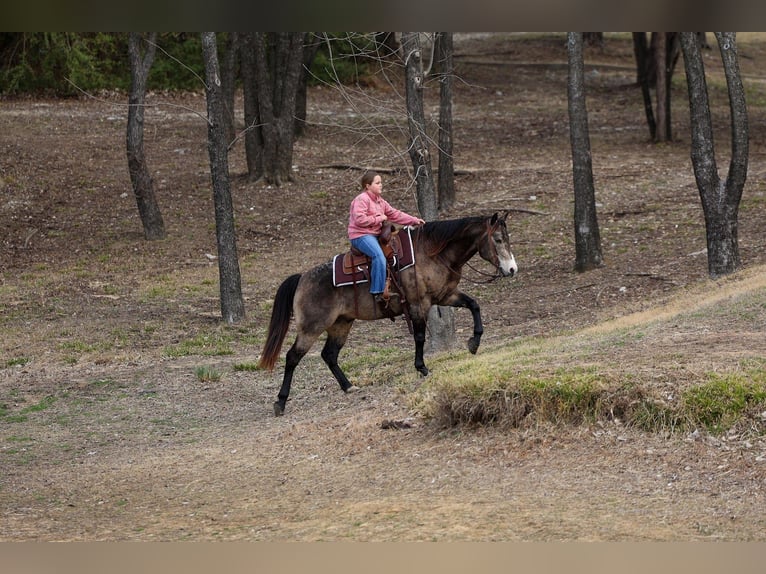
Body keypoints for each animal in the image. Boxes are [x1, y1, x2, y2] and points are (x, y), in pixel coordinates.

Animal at [258, 211, 518, 416]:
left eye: (507, 239)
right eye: (497, 239)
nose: (512, 269)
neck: (432, 253)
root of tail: (302, 278)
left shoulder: (445, 296)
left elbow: (474, 305)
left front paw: (474, 342)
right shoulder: (419, 304)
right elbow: (419, 337)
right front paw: (422, 367)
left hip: (341, 323)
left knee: (329, 355)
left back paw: (348, 386)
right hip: (311, 327)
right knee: (293, 357)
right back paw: (280, 402)